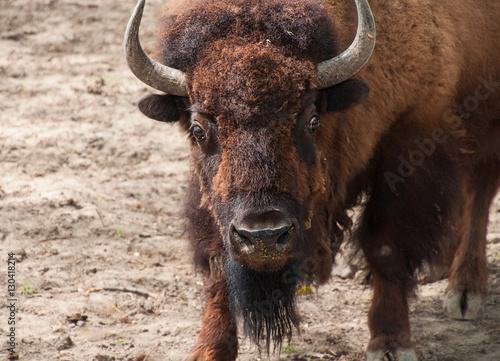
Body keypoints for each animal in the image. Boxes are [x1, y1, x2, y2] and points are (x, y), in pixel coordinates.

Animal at [124, 0, 500, 358]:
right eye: (198, 130)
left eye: (312, 120)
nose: (263, 236)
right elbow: (219, 263)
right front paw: (209, 350)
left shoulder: (412, 135)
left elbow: (385, 245)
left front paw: (391, 342)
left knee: (479, 189)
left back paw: (465, 291)